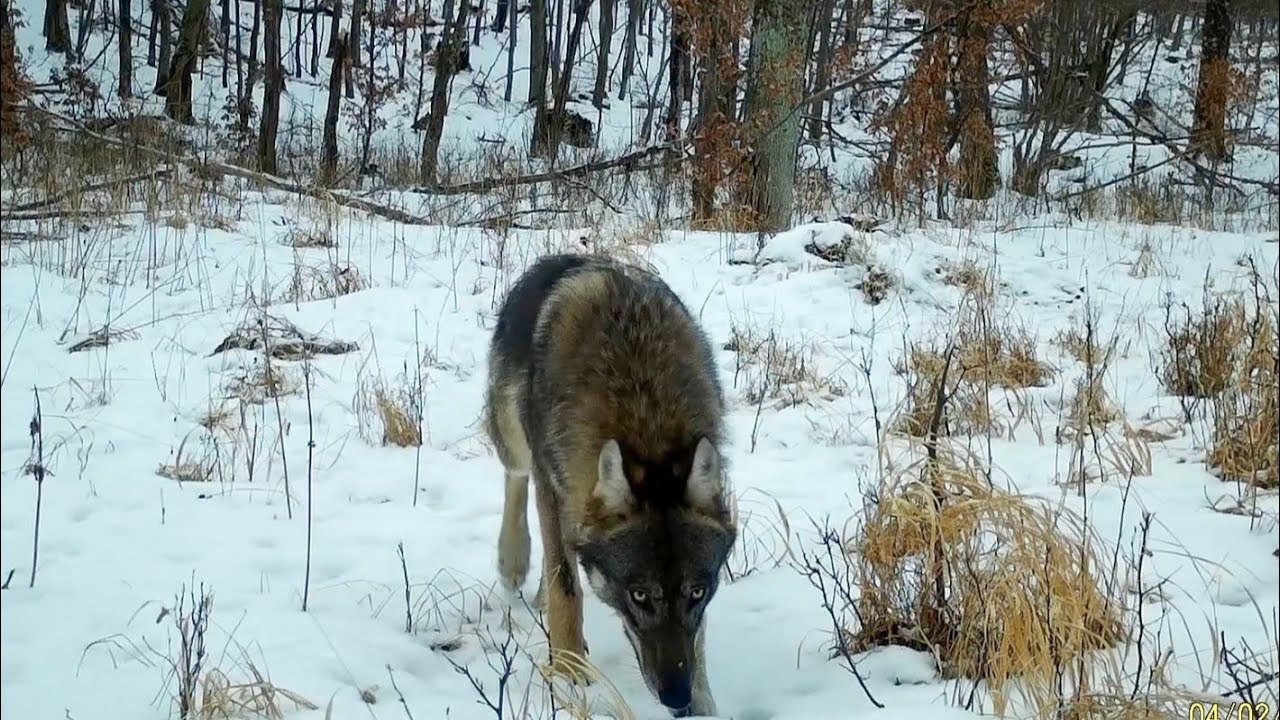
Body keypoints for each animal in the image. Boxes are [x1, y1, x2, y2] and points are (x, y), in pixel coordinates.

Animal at [483, 254, 737, 718]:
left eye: (697, 591)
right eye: (639, 596)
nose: (678, 697)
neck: (645, 416)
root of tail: (565, 256)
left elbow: (699, 635)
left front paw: (704, 698)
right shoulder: (552, 482)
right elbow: (566, 585)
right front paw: (567, 675)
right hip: (514, 435)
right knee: (516, 479)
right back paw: (513, 561)